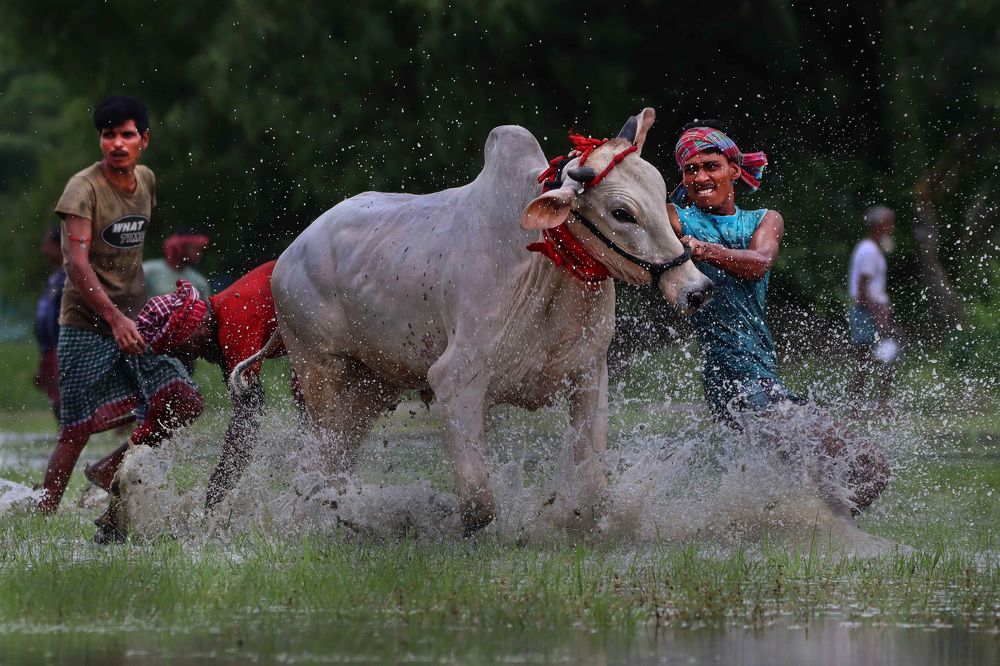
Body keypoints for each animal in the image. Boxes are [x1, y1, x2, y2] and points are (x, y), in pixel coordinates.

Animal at [254, 108, 714, 535]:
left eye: (661, 192)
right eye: (622, 213)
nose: (697, 289)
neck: (543, 265)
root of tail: (291, 254)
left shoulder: (588, 374)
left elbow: (596, 490)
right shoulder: (456, 379)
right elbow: (479, 506)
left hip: (371, 385)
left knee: (337, 458)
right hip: (320, 373)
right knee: (318, 460)